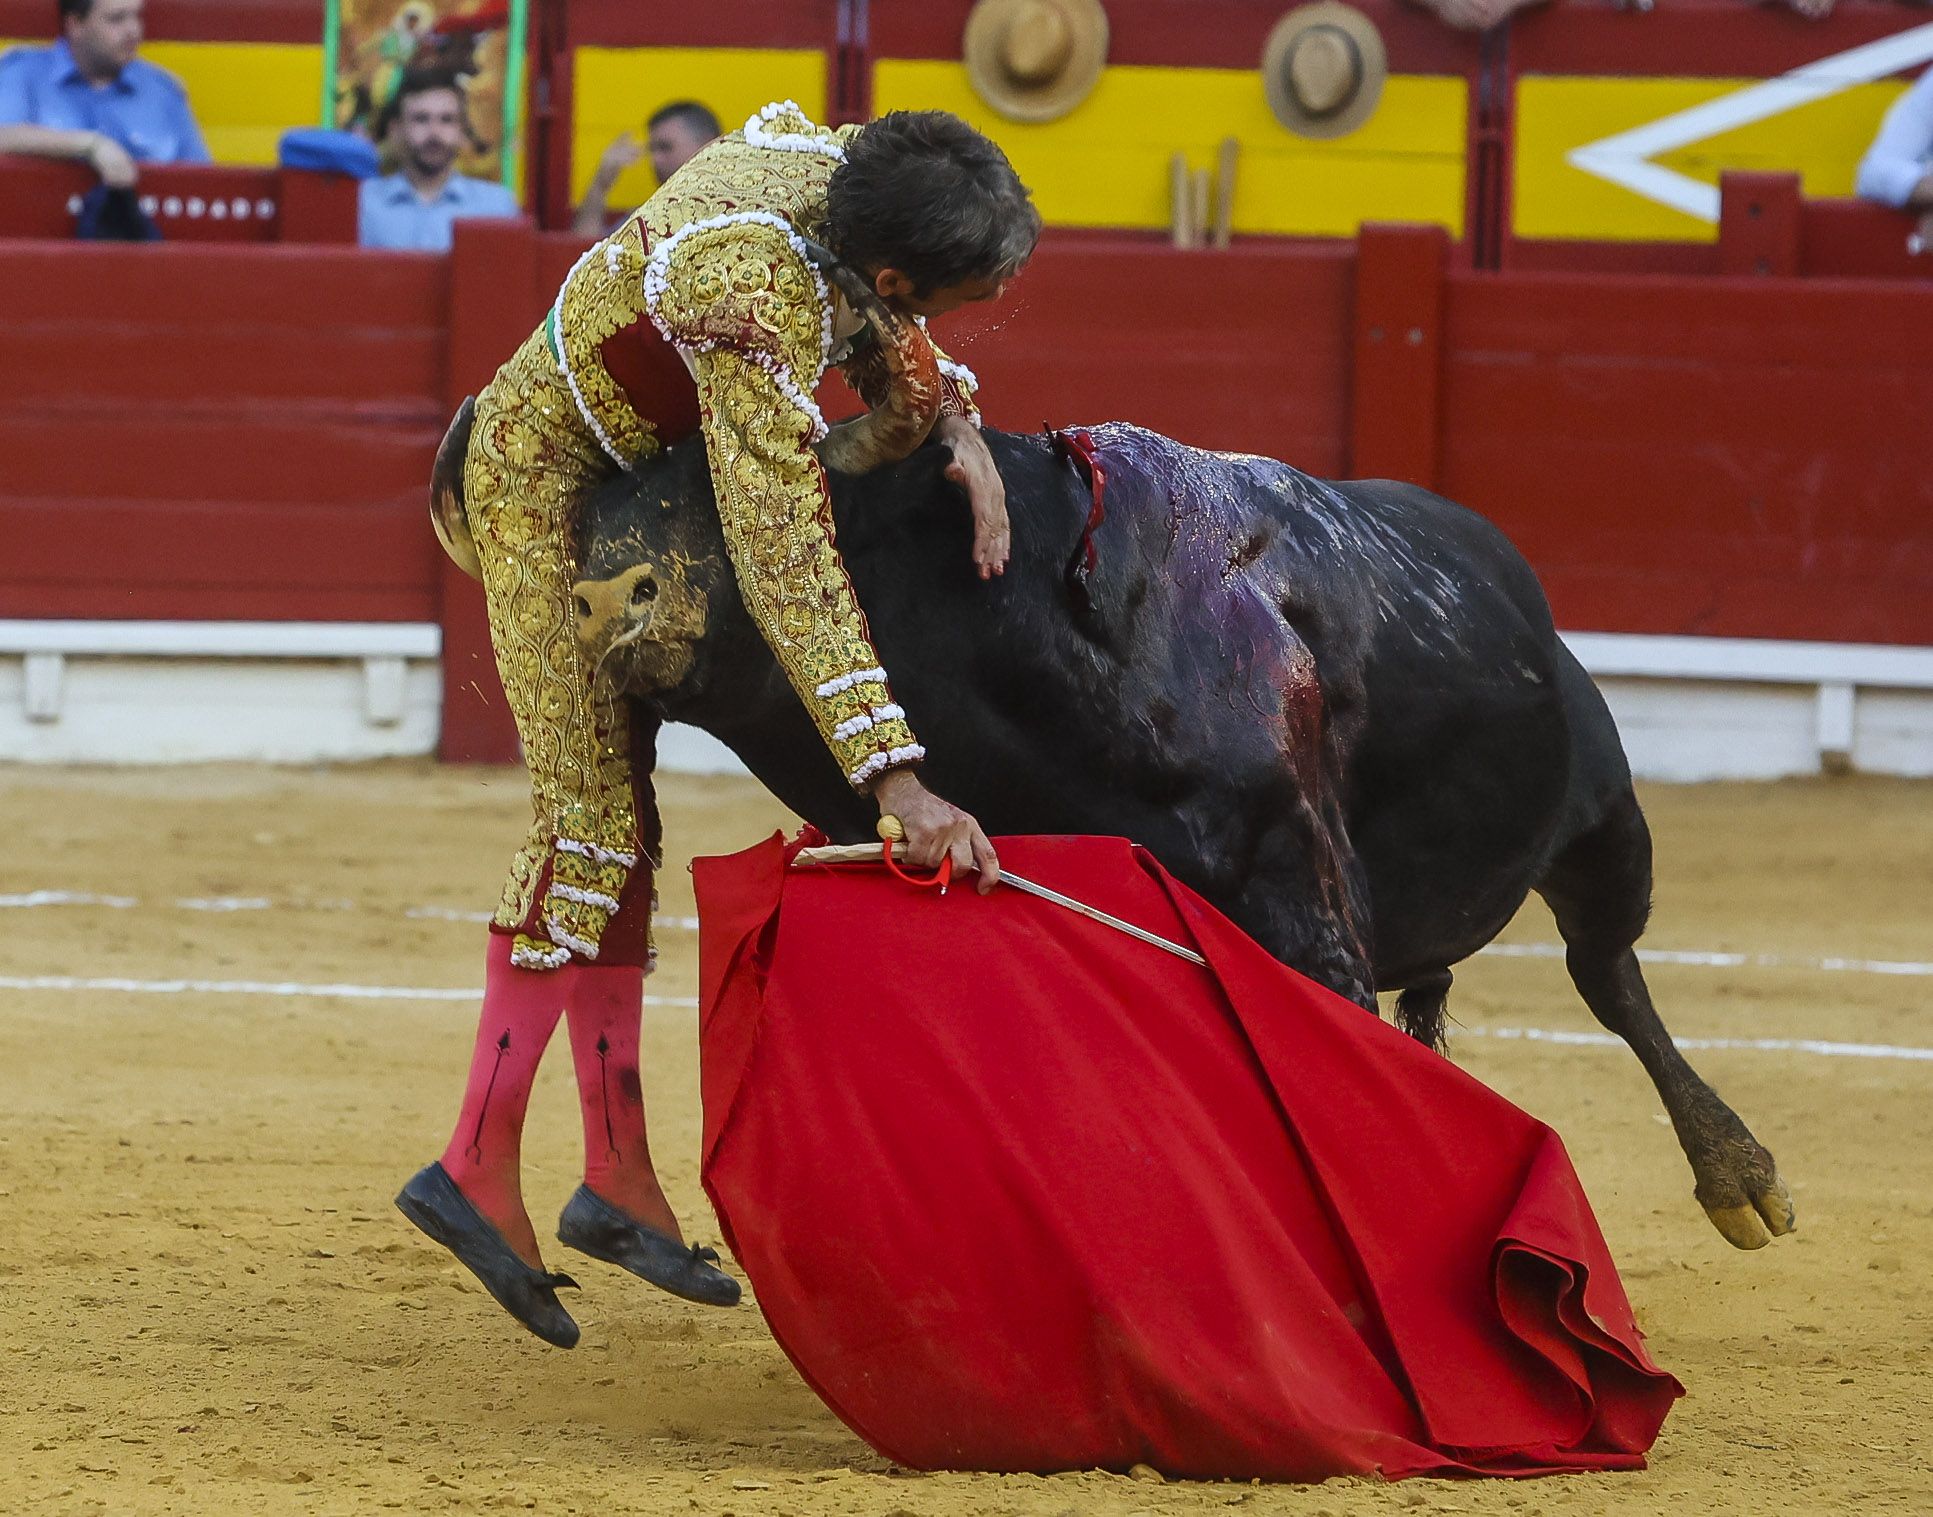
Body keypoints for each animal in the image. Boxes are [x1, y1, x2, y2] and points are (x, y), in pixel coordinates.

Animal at [564, 417, 1793, 1244]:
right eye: (586, 517)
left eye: (747, 502)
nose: (608, 597)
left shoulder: (1309, 914)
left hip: (1603, 817)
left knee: (1609, 972)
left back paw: (1738, 1173)